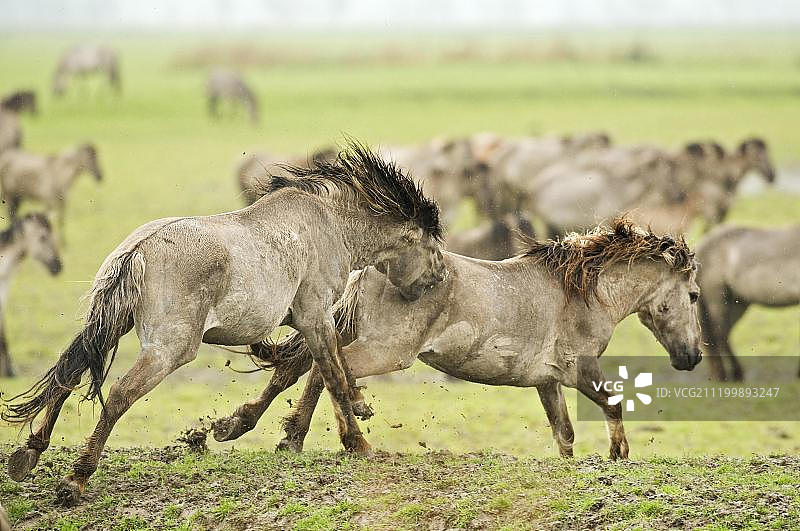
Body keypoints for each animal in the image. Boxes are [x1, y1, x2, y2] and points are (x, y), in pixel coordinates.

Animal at [213, 219, 701, 460]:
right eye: (694, 294)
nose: (692, 357)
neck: (581, 290)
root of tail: (368, 267)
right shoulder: (579, 368)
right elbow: (613, 403)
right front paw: (619, 454)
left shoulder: (547, 382)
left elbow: (564, 435)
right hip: (388, 352)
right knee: (329, 371)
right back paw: (343, 436)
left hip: (344, 331)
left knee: (302, 369)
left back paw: (252, 430)